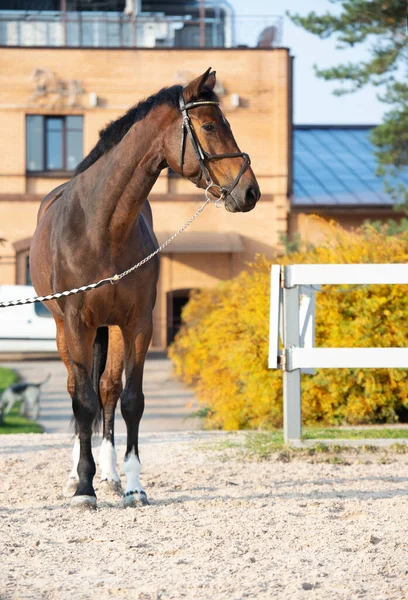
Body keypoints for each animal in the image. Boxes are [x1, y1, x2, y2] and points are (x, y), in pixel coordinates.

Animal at [31, 68, 262, 508]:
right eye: (210, 125)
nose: (250, 192)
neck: (101, 227)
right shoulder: (77, 323)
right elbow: (81, 401)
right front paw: (83, 488)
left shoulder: (137, 323)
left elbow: (130, 401)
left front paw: (133, 486)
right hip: (63, 330)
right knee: (76, 390)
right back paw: (76, 475)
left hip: (111, 330)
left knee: (106, 390)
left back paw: (109, 474)